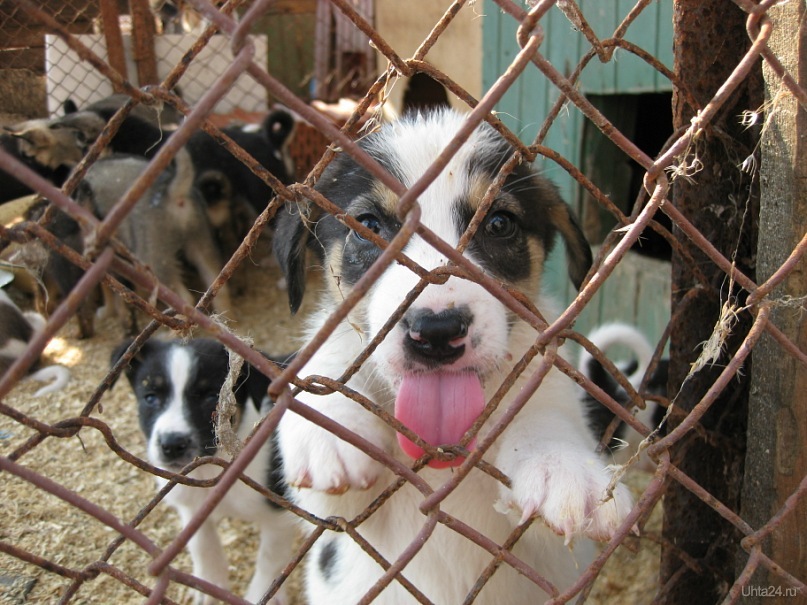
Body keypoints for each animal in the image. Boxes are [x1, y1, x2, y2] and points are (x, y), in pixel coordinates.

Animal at [109, 338, 294, 604]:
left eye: (211, 397)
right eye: (150, 398)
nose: (172, 444)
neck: (211, 471)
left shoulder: (278, 512)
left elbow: (271, 558)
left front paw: (263, 593)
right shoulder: (191, 506)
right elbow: (202, 546)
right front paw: (210, 586)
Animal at [274, 109, 636, 604]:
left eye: (499, 224)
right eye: (368, 225)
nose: (437, 332)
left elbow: (545, 417)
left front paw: (563, 467)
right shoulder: (337, 513)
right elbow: (331, 357)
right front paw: (331, 419)